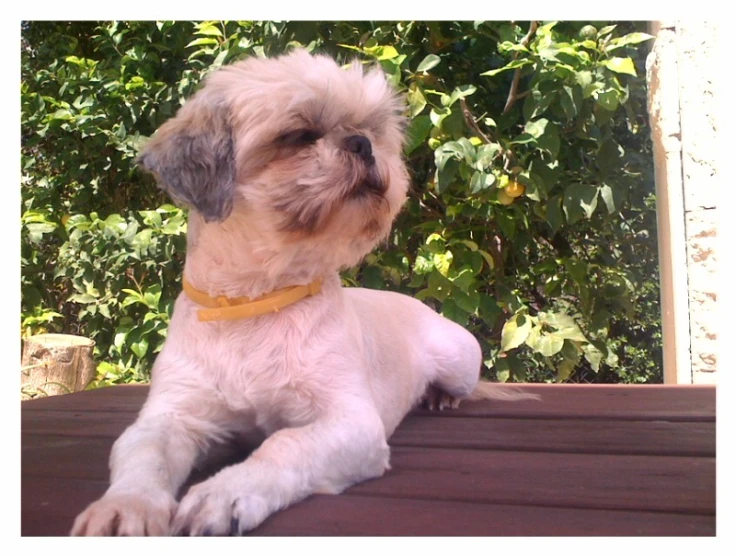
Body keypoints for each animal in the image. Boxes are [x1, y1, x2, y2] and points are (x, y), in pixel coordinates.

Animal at [72, 50, 532, 536]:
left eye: (372, 131)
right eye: (300, 136)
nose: (362, 143)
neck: (257, 299)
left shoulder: (350, 423)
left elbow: (283, 445)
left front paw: (223, 494)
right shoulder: (171, 416)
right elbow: (146, 459)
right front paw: (124, 507)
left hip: (458, 358)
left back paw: (439, 395)